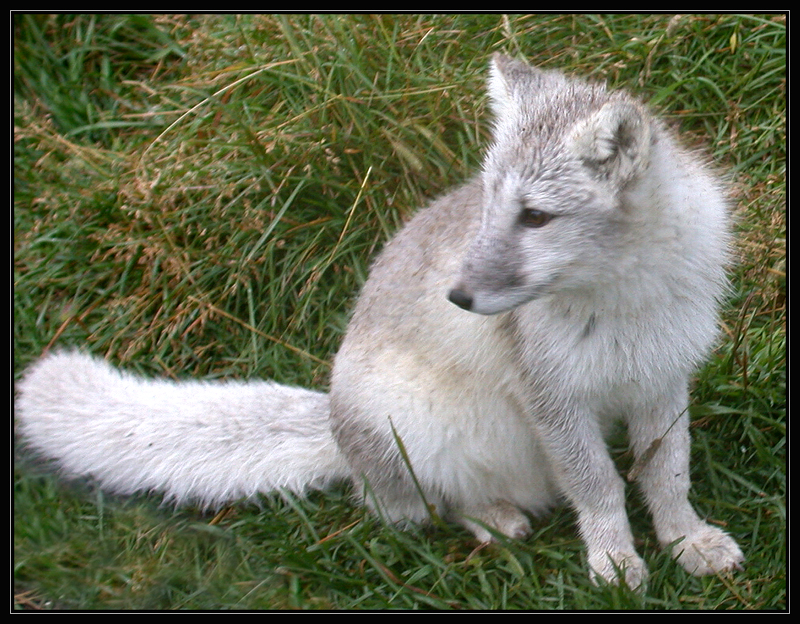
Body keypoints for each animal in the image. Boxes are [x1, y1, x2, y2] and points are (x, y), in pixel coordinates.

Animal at [17, 54, 744, 588]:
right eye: (488, 204)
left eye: (536, 216)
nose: (458, 297)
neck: (625, 298)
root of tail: (336, 429)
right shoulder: (553, 402)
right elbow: (598, 488)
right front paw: (615, 562)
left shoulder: (662, 381)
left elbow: (666, 474)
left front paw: (686, 540)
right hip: (423, 437)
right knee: (412, 508)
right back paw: (492, 519)